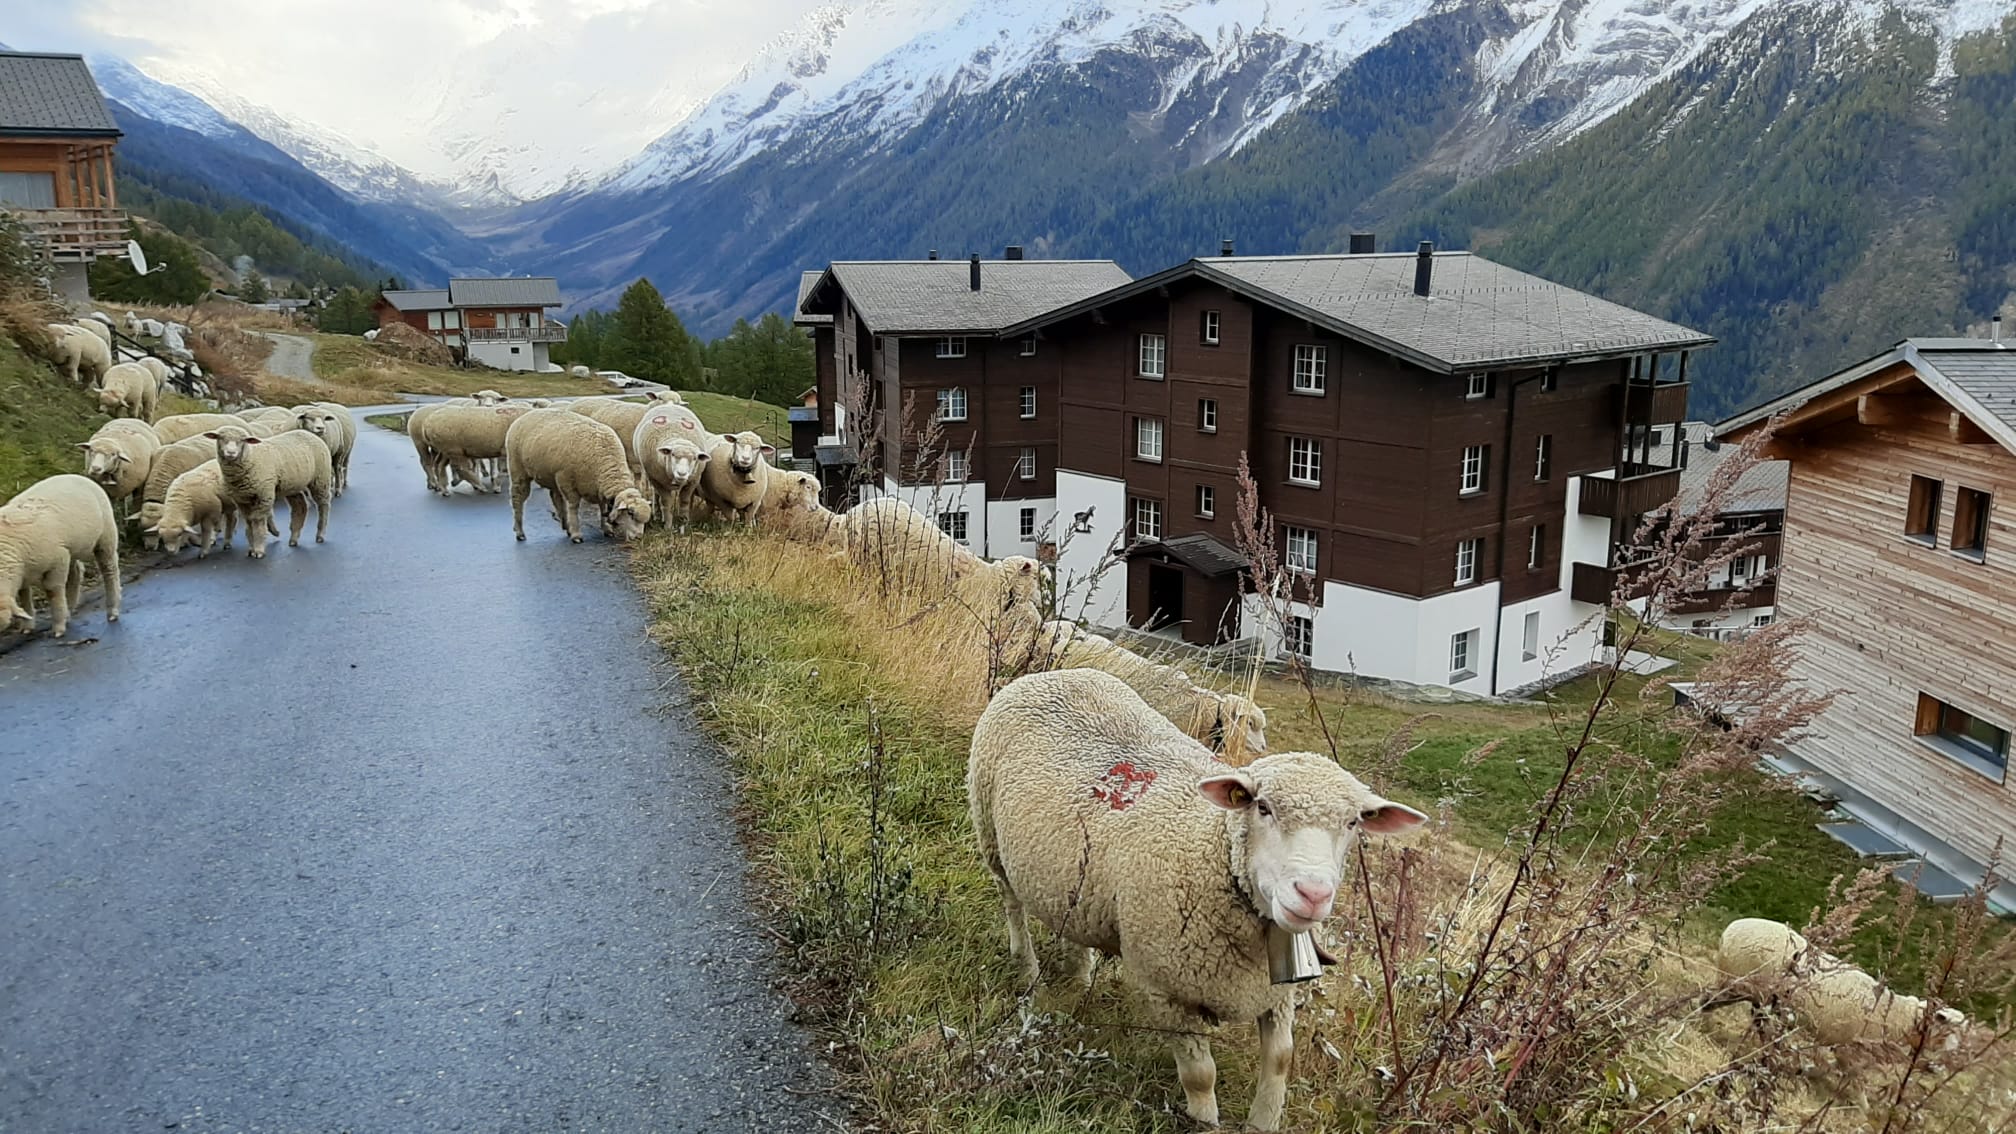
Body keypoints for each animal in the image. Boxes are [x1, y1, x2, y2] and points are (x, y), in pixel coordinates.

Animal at [0, 474, 122, 638]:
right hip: (71, 549)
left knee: (109, 569)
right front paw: (27, 626)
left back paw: (112, 610)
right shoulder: (23, 573)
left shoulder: (56, 559)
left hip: (105, 536)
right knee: (75, 573)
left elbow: (52, 591)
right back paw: (69, 610)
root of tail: (77, 476)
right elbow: (24, 596)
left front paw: (58, 628)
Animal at [205, 425, 333, 558]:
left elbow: (258, 521)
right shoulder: (241, 499)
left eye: (242, 440)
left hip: (321, 477)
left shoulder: (264, 494)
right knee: (300, 506)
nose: (231, 453)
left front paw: (258, 550)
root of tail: (308, 433)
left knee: (323, 503)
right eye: (220, 438)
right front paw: (251, 549)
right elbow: (249, 521)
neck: (251, 458)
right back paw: (294, 538)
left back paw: (320, 535)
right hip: (292, 485)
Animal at [503, 408, 652, 544]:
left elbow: (603, 507)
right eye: (630, 513)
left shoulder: (597, 489)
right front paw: (576, 534)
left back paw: (565, 525)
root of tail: (525, 415)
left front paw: (606, 529)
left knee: (555, 497)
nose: (639, 538)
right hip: (518, 470)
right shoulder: (566, 479)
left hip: (551, 475)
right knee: (517, 499)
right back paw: (520, 532)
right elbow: (573, 506)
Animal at [969, 668, 1424, 1130]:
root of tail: (1051, 674)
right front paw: (1205, 1123)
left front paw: (1262, 1122)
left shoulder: (1277, 994)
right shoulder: (1168, 991)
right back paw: (1026, 967)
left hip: (1069, 880)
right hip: (989, 831)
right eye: (1262, 808)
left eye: (1353, 823)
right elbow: (1200, 1075)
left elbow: (1281, 1059)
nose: (1313, 893)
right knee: (1012, 906)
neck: (1214, 849)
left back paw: (1079, 976)